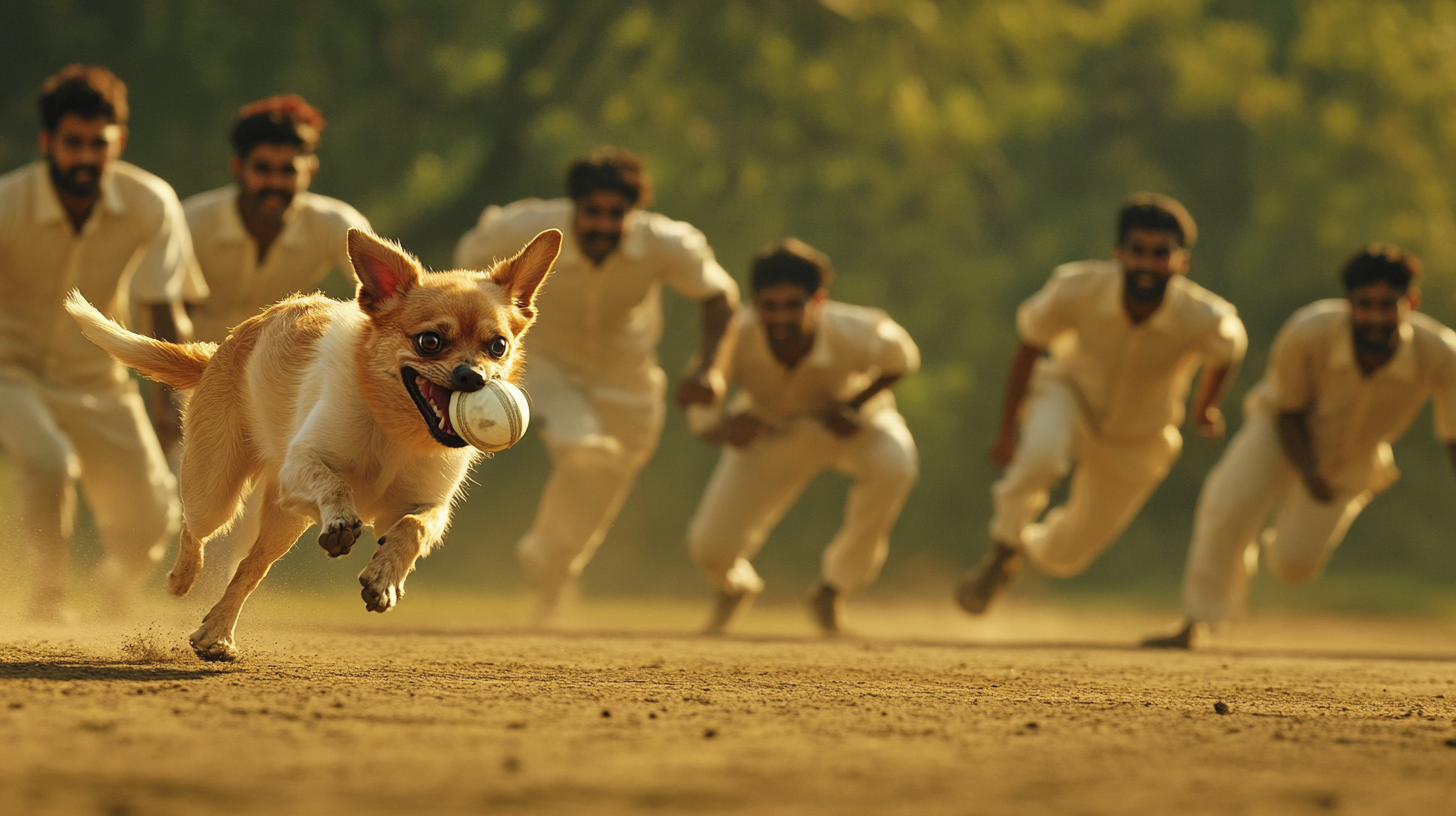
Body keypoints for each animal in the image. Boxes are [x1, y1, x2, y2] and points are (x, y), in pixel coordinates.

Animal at [65, 225, 559, 658]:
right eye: (429, 342)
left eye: (498, 346)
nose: (473, 377)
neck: (394, 429)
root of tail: (222, 347)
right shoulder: (301, 468)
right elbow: (334, 483)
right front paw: (341, 522)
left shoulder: (424, 504)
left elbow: (413, 529)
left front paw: (384, 578)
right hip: (218, 491)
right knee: (193, 526)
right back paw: (182, 580)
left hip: (283, 521)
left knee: (249, 568)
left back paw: (214, 634)